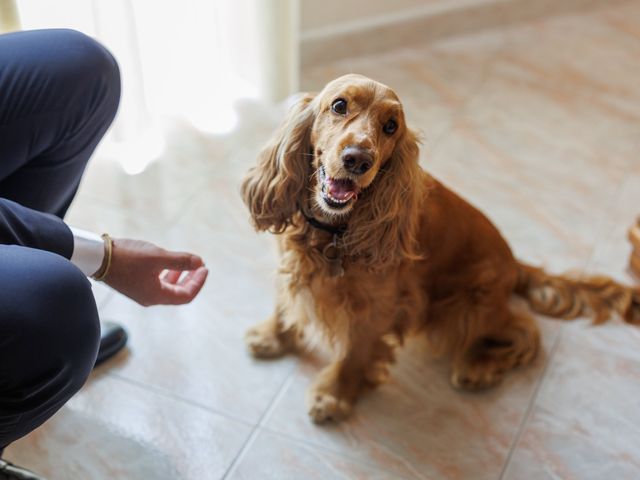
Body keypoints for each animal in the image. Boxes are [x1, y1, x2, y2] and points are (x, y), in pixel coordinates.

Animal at [240, 73, 640, 422]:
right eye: (339, 105)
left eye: (391, 127)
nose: (358, 159)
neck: (333, 231)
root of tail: (515, 263)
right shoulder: (294, 269)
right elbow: (285, 305)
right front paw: (273, 337)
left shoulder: (376, 308)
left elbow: (354, 353)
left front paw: (333, 395)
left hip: (467, 306)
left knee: (524, 331)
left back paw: (479, 367)